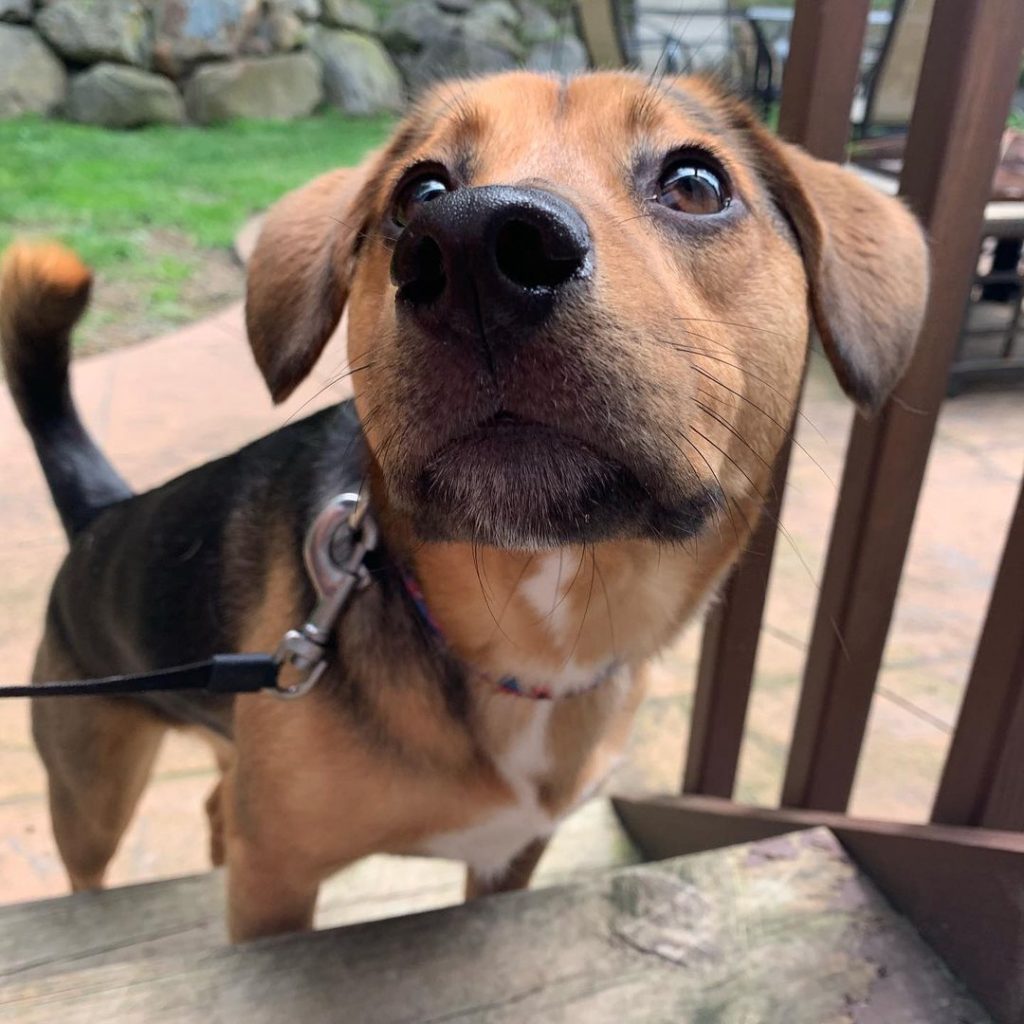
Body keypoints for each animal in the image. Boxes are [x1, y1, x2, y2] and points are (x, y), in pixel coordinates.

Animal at [2, 68, 929, 937]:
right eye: (420, 192)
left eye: (696, 182)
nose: (475, 244)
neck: (540, 629)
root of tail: (100, 519)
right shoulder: (275, 878)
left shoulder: (509, 853)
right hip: (91, 787)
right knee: (91, 868)